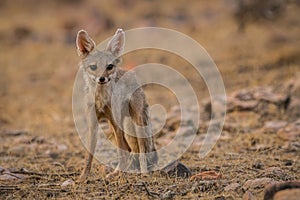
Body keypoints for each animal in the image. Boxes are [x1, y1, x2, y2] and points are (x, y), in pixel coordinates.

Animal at [75, 28, 157, 181]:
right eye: (93, 67)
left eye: (109, 67)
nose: (102, 79)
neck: (101, 99)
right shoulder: (92, 125)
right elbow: (88, 156)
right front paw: (82, 178)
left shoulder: (117, 124)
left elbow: (122, 154)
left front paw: (122, 177)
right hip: (112, 127)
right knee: (129, 149)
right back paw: (117, 172)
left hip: (135, 125)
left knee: (140, 151)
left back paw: (142, 173)